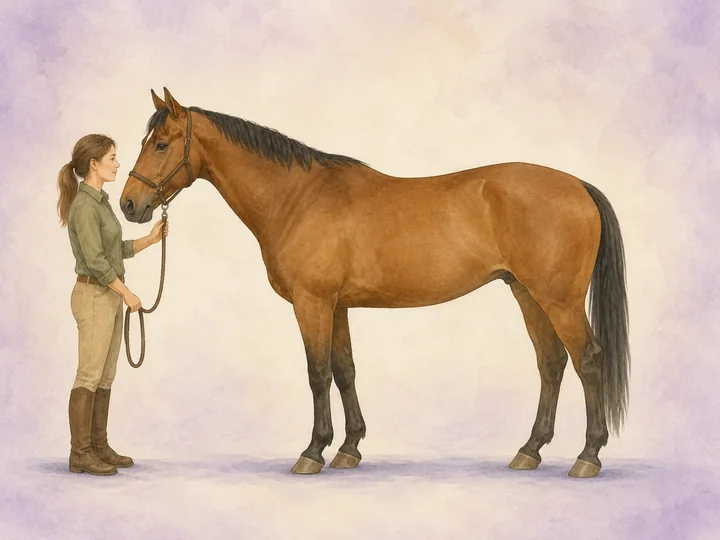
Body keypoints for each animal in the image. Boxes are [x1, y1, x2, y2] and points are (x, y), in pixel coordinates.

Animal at [120, 87, 630, 478]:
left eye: (161, 143)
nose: (129, 204)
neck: (298, 197)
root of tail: (579, 186)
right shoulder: (338, 306)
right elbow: (344, 370)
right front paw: (349, 449)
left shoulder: (311, 303)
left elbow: (318, 373)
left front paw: (312, 452)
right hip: (527, 294)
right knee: (551, 363)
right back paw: (529, 451)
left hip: (558, 300)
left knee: (588, 360)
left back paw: (587, 457)